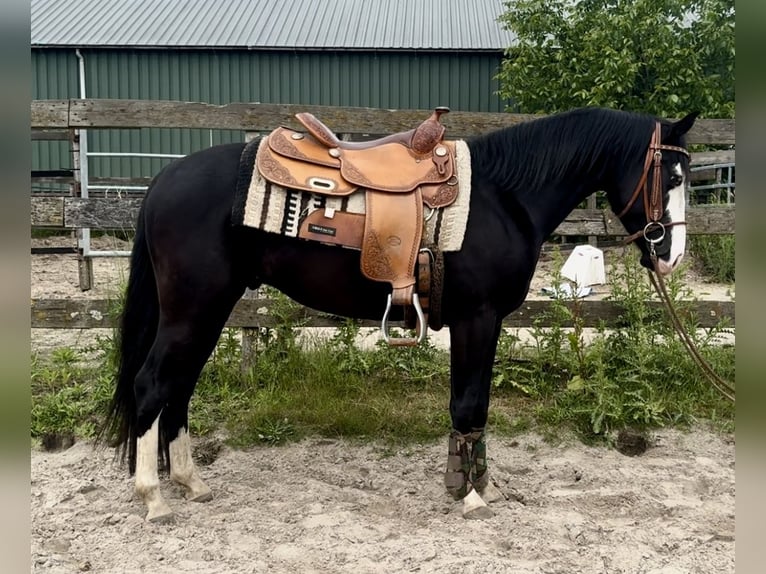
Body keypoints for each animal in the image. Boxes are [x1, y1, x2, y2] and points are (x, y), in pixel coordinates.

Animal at [102, 106, 697, 522]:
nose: (671, 257)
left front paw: (478, 484)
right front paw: (470, 496)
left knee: (179, 388)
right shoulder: (477, 318)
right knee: (153, 385)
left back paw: (190, 482)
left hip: (206, 312)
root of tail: (161, 183)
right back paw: (154, 498)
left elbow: (475, 408)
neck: (506, 197)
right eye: (671, 177)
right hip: (193, 310)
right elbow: (468, 405)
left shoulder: (485, 322)